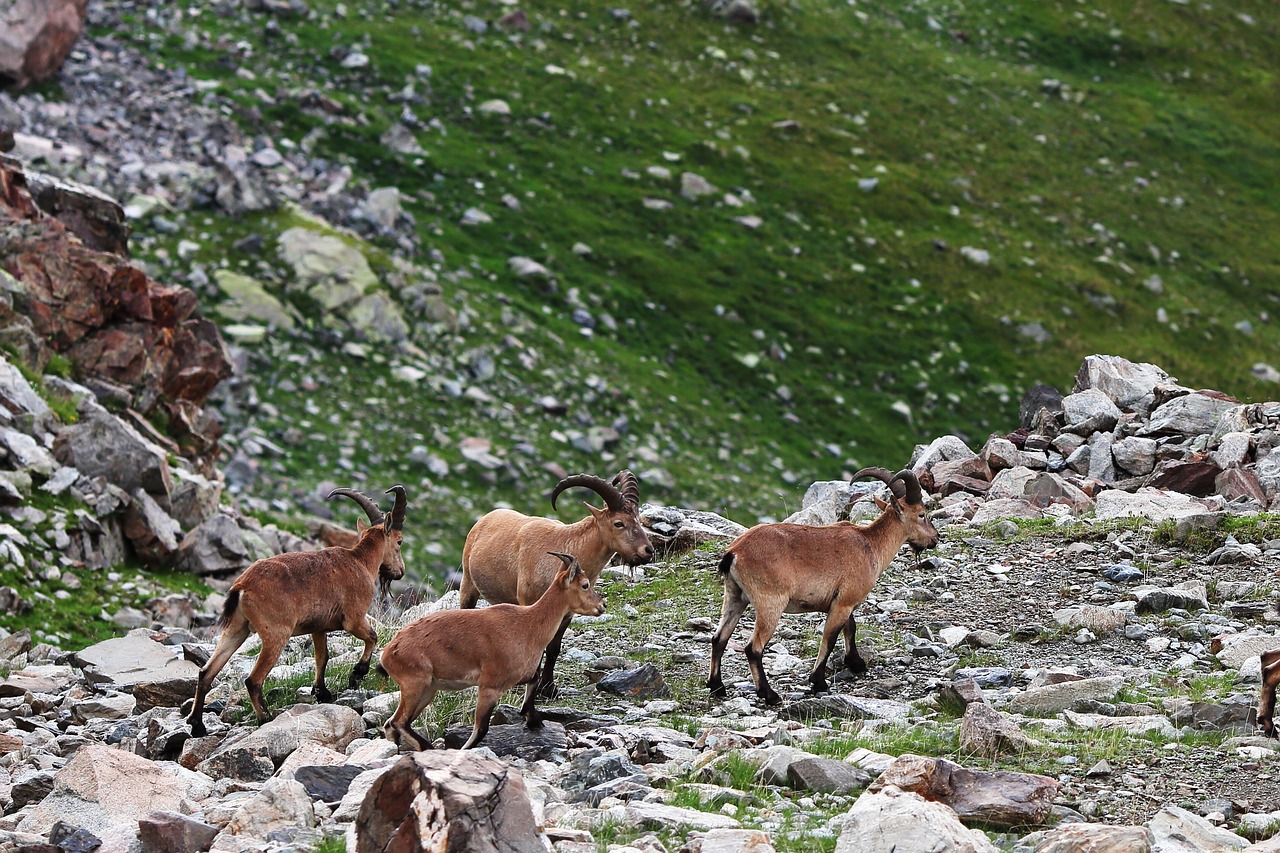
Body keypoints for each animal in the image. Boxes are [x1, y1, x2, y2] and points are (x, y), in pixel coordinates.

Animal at [184, 481, 404, 732]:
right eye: (399, 541)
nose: (400, 572)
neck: (360, 561)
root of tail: (241, 587)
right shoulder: (354, 618)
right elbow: (372, 637)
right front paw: (357, 674)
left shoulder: (318, 627)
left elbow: (322, 656)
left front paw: (322, 692)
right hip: (276, 633)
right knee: (253, 680)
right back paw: (264, 718)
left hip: (236, 629)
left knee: (206, 672)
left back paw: (197, 725)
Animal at [378, 548, 604, 747]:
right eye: (585, 585)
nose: (602, 606)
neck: (528, 625)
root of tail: (388, 653)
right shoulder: (489, 686)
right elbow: (481, 729)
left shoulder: (518, 675)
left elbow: (534, 681)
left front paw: (532, 719)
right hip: (415, 684)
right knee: (399, 722)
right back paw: (427, 748)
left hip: (428, 690)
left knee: (391, 724)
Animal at [458, 468, 655, 696]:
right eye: (619, 523)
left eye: (639, 519)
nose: (648, 551)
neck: (565, 548)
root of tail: (485, 518)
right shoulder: (528, 602)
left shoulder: (567, 612)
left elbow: (554, 647)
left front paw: (549, 688)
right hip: (468, 584)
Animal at [706, 468, 936, 701]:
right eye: (921, 514)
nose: (935, 538)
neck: (870, 544)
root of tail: (734, 553)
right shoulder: (844, 602)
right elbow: (830, 638)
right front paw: (818, 682)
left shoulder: (842, 601)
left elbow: (850, 628)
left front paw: (856, 663)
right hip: (770, 603)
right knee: (753, 648)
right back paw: (769, 694)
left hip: (735, 596)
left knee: (719, 638)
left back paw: (717, 686)